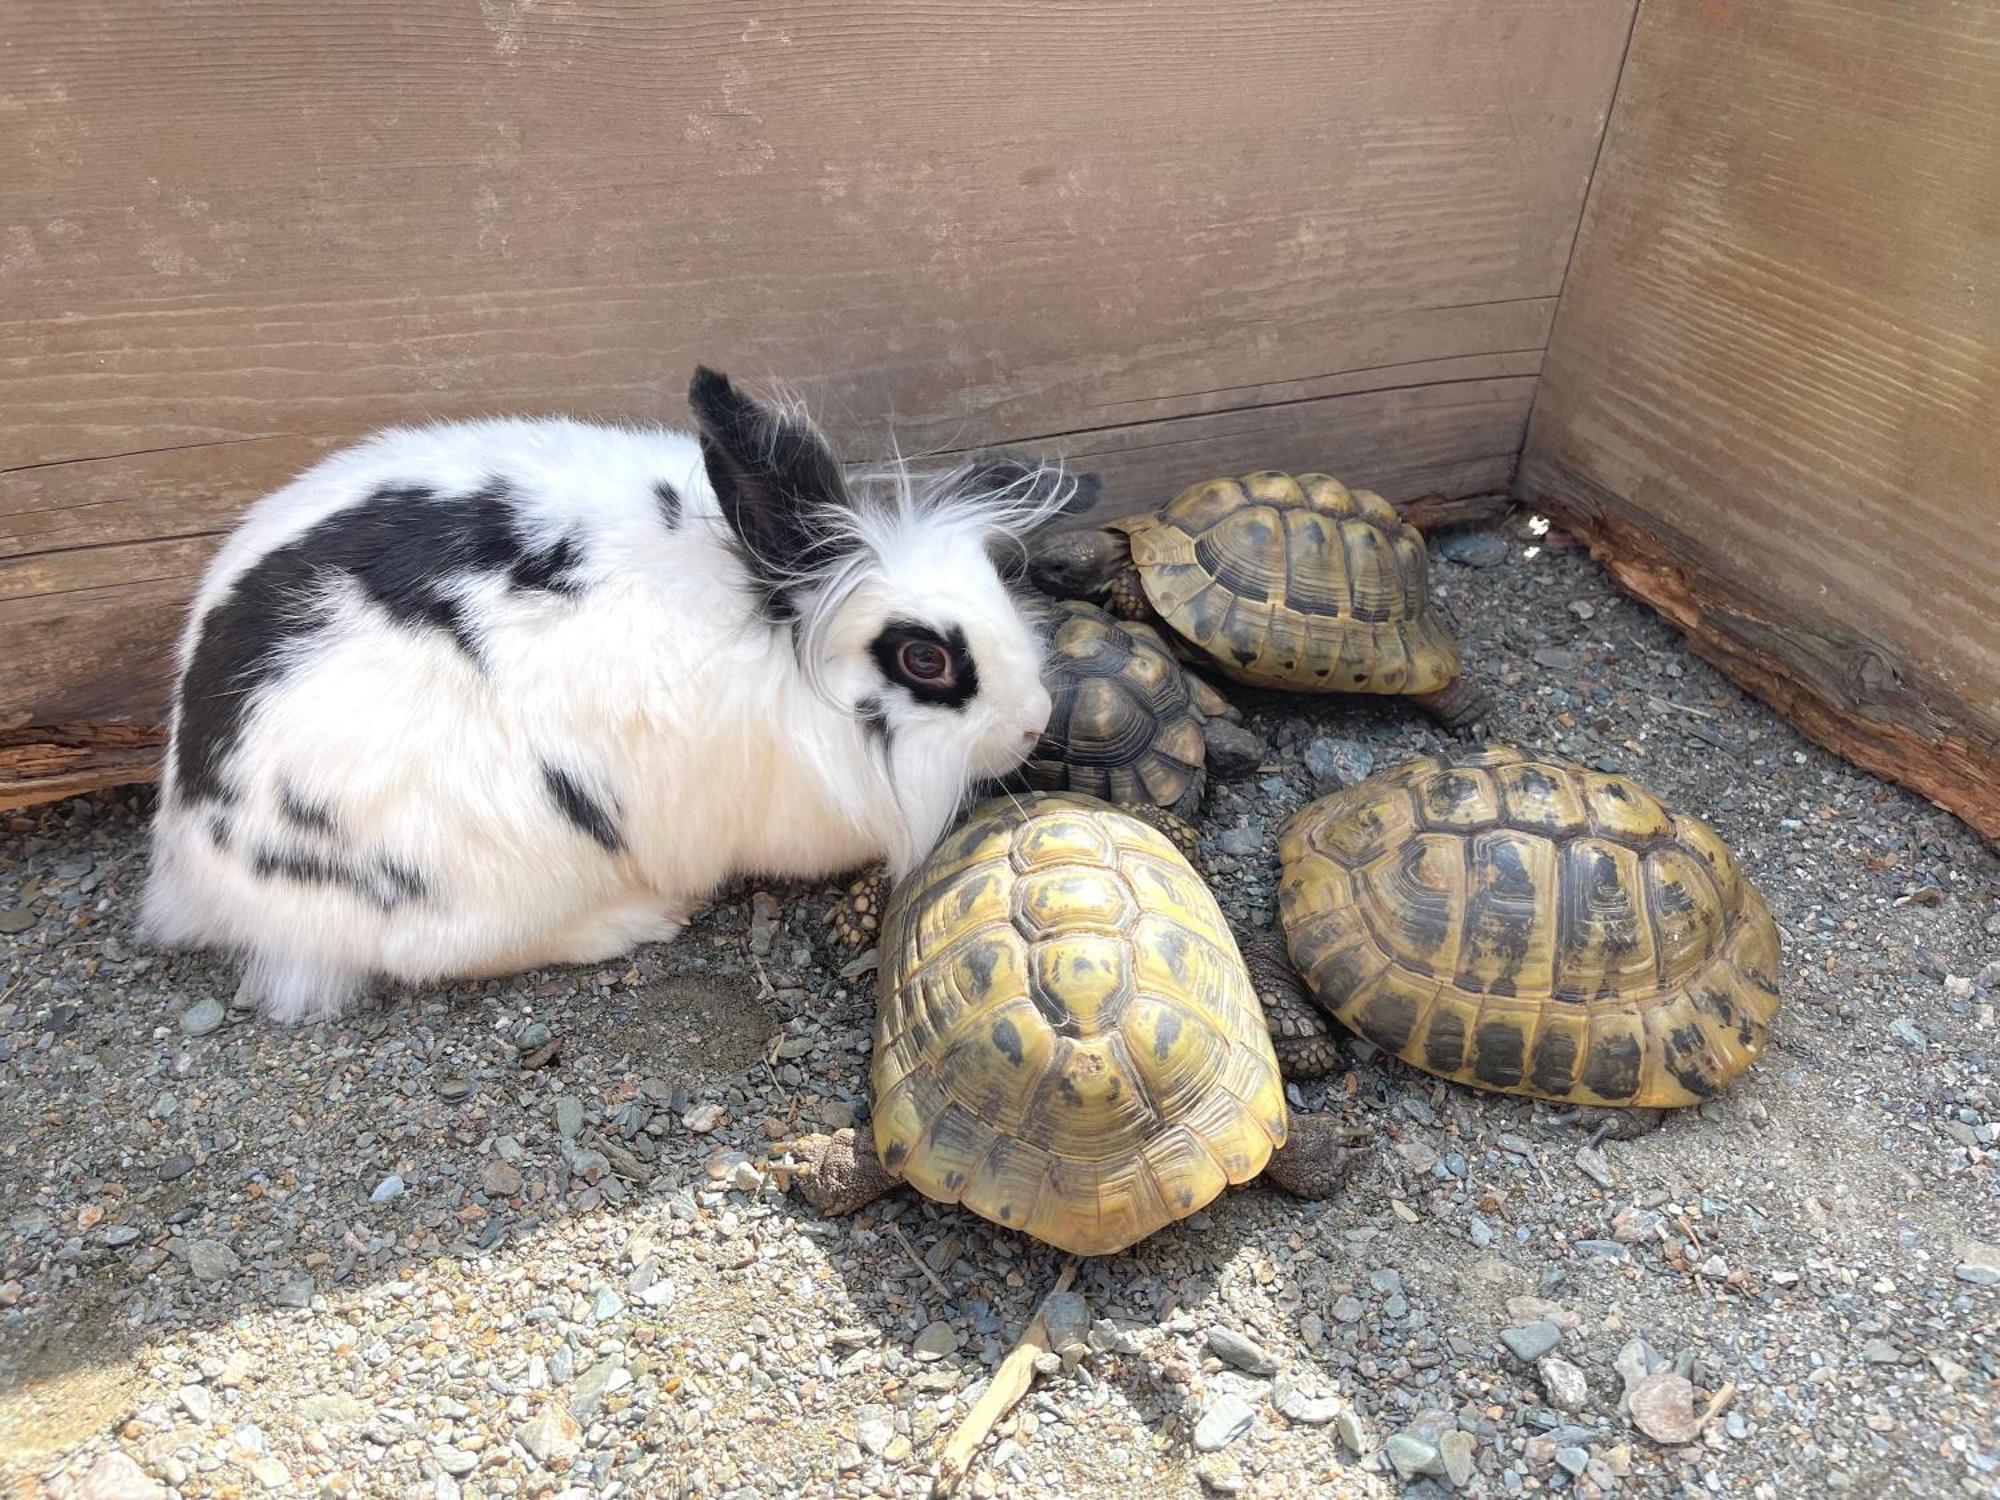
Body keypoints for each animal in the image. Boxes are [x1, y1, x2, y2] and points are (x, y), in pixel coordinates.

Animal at [143, 368, 1088, 1024]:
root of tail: (194, 865)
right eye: (925, 659)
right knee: (436, 954)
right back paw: (637, 922)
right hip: (496, 865)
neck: (781, 636)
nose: (1033, 722)